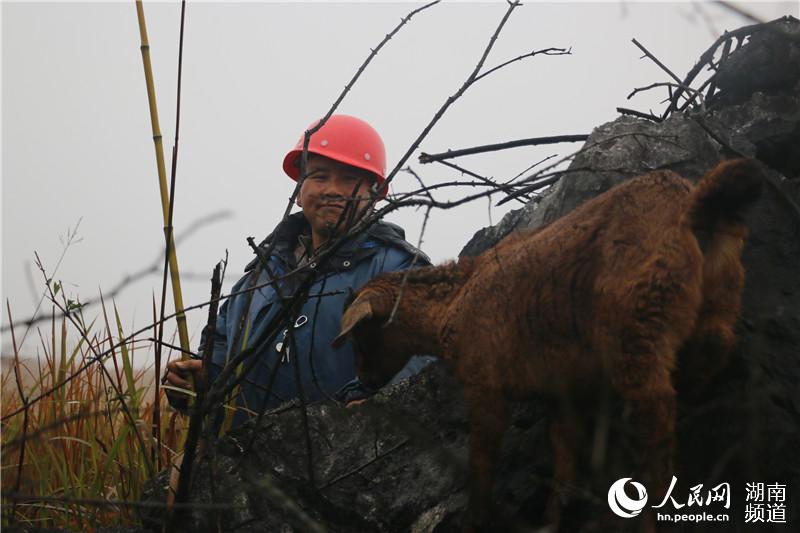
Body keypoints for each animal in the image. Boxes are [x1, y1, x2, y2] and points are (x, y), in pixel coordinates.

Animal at [332, 157, 764, 528]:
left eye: (360, 337)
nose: (364, 382)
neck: (452, 302)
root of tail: (688, 206)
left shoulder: (486, 383)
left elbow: (483, 458)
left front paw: (478, 517)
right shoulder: (563, 391)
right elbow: (564, 455)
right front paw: (556, 516)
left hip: (637, 320)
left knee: (655, 407)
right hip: (720, 293)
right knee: (714, 347)